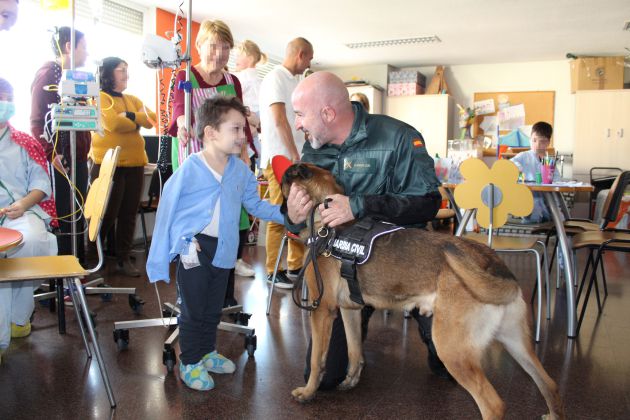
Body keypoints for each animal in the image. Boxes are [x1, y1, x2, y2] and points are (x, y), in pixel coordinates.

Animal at [282, 163, 568, 420]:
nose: (284, 211)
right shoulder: (350, 309)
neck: (326, 217)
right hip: (515, 342)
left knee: (494, 405)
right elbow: (355, 351)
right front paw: (351, 379)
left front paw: (308, 392)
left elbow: (318, 360)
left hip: (452, 350)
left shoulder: (322, 310)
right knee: (550, 384)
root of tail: (494, 263)